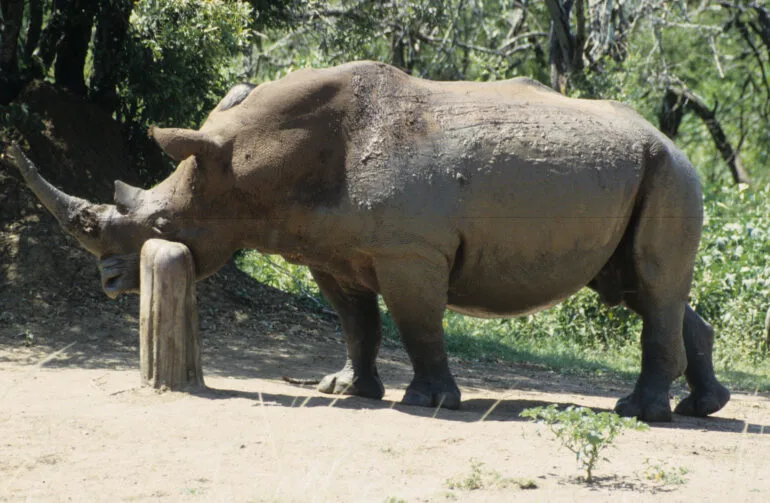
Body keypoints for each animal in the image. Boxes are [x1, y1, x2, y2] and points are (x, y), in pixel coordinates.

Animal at [6, 61, 730, 422]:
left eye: (160, 228)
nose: (108, 283)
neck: (248, 161)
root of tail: (670, 140)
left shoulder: (411, 251)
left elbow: (417, 324)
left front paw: (429, 402)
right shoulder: (332, 251)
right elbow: (356, 323)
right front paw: (344, 390)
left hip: (668, 172)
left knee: (652, 287)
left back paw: (641, 412)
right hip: (642, 172)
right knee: (636, 286)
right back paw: (704, 406)